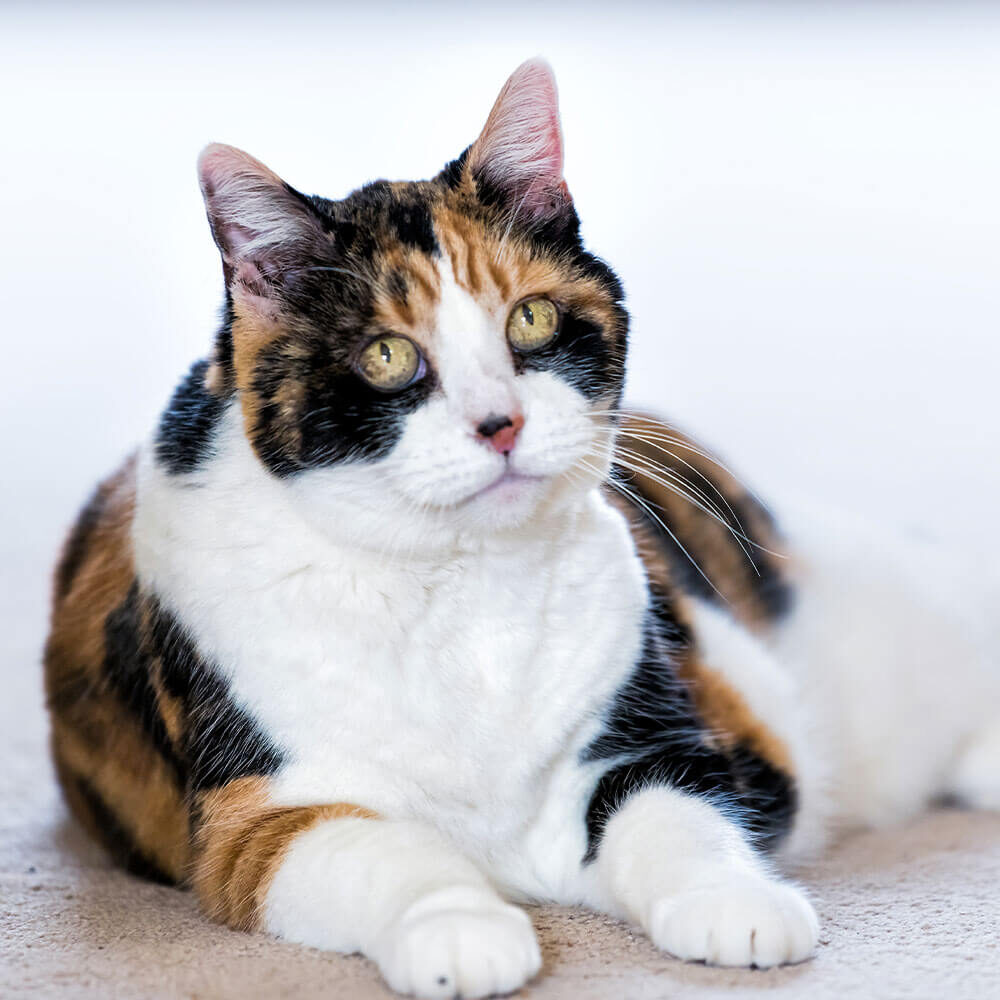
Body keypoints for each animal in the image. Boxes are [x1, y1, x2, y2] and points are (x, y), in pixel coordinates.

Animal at [45, 58, 1000, 996]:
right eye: (388, 355)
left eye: (531, 319)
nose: (500, 424)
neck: (460, 587)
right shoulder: (256, 817)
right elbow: (385, 851)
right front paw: (461, 931)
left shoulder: (663, 740)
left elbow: (677, 818)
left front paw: (735, 905)